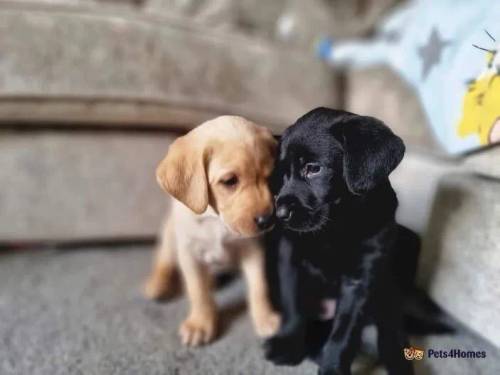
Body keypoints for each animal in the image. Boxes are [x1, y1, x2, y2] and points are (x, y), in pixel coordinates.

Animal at [145, 116, 280, 348]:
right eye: (229, 181)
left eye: (270, 178)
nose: (267, 220)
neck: (216, 220)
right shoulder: (189, 253)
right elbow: (197, 291)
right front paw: (200, 323)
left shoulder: (253, 249)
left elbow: (259, 286)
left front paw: (265, 318)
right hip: (170, 235)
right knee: (164, 261)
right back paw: (158, 284)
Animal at [266, 108, 414, 375]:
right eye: (282, 174)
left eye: (314, 168)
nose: (280, 214)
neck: (335, 228)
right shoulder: (290, 258)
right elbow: (293, 305)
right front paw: (288, 344)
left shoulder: (361, 278)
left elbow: (344, 331)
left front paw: (333, 367)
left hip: (387, 289)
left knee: (390, 329)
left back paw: (398, 360)